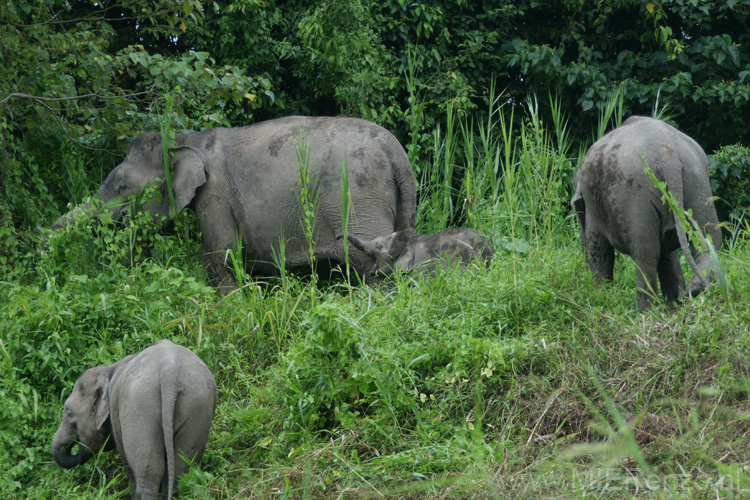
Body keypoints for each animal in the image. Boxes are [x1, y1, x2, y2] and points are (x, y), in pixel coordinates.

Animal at [51, 338, 217, 498]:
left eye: (68, 413)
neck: (108, 369)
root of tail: (170, 377)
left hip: (140, 407)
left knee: (149, 473)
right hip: (198, 405)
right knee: (180, 471)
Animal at [55, 116, 420, 292]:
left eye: (121, 187)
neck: (184, 140)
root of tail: (398, 154)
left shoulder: (214, 193)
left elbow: (221, 257)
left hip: (359, 197)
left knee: (373, 264)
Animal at [572, 116, 724, 308]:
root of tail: (668, 156)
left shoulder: (592, 204)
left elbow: (599, 249)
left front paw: (600, 299)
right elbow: (668, 255)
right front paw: (674, 305)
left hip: (635, 195)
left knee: (645, 256)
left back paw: (646, 310)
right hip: (697, 182)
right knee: (707, 241)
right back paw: (692, 292)